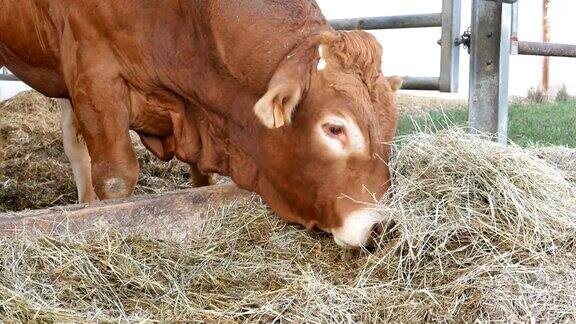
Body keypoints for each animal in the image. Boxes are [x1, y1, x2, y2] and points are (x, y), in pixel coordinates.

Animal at [0, 0, 398, 248]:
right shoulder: (94, 76)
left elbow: (201, 180)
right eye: (334, 128)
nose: (380, 225)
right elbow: (116, 181)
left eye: (391, 129)